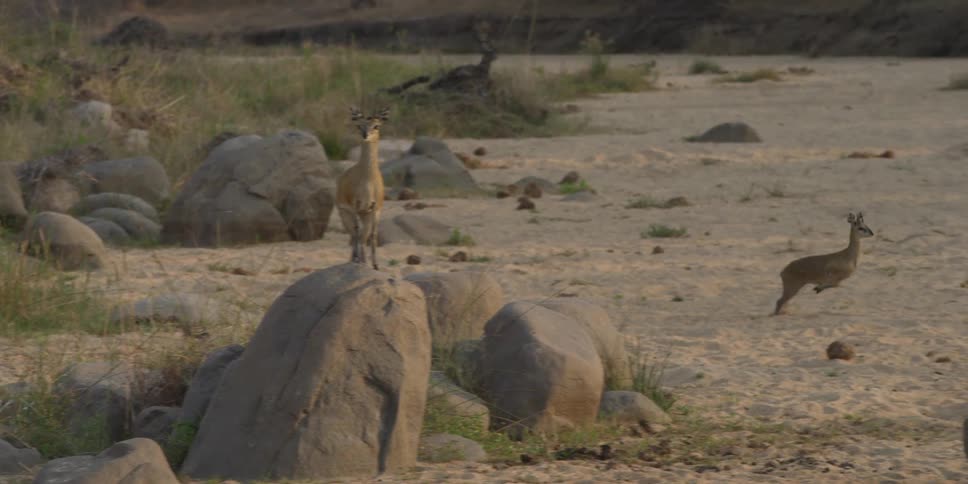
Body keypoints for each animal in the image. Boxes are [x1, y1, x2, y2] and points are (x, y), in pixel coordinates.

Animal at [337, 106, 389, 270]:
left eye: (376, 126)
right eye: (359, 126)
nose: (365, 135)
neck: (368, 182)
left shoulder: (375, 209)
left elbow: (372, 235)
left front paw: (375, 265)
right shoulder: (356, 206)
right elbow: (357, 232)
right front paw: (358, 259)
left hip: (365, 215)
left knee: (362, 236)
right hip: (346, 213)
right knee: (354, 235)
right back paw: (355, 259)